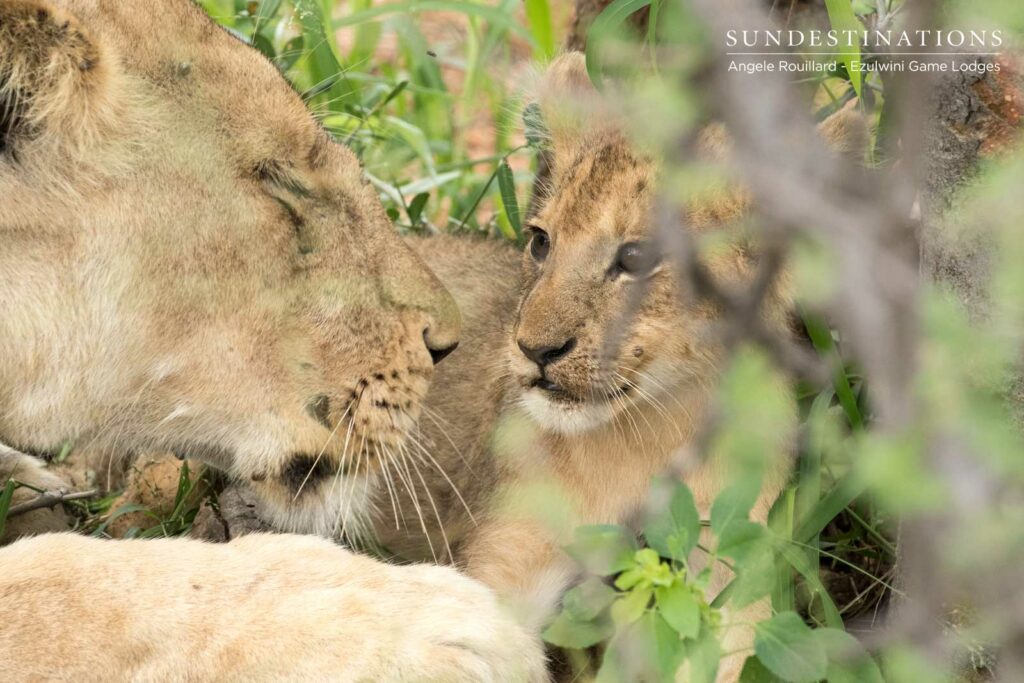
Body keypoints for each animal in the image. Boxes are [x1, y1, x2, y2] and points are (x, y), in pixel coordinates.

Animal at [370, 53, 868, 680]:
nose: (534, 350)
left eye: (636, 258)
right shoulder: (509, 553)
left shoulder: (729, 571)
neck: (646, 438)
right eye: (540, 242)